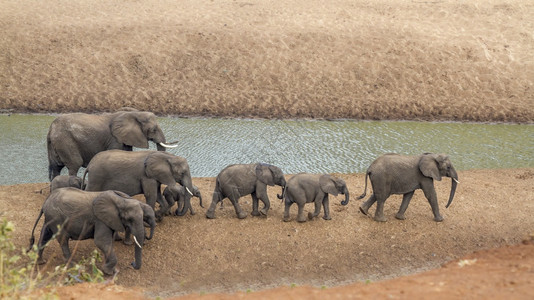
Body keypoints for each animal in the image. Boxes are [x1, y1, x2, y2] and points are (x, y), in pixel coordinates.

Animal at [28, 189, 157, 276]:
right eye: (129, 219)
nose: (132, 264)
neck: (122, 200)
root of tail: (45, 202)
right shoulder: (100, 219)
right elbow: (101, 241)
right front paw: (108, 272)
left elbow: (107, 242)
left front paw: (110, 269)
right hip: (57, 218)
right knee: (63, 239)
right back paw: (73, 266)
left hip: (51, 217)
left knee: (45, 235)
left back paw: (40, 262)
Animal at [47, 110, 177, 180]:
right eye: (154, 129)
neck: (133, 114)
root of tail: (51, 129)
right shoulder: (115, 139)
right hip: (66, 141)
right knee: (74, 164)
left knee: (56, 167)